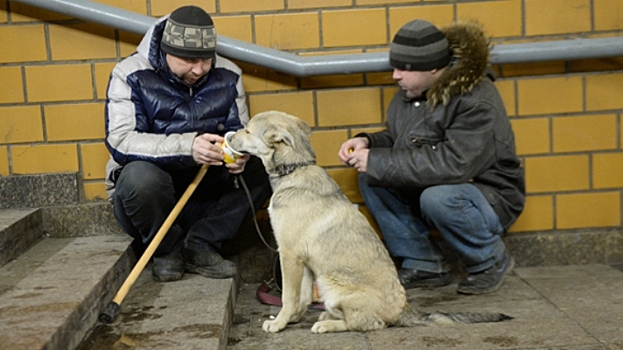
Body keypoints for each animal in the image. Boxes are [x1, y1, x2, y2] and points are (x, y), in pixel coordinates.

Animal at [229, 110, 512, 334]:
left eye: (247, 129)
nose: (228, 136)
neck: (295, 169)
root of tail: (403, 310)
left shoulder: (289, 255)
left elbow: (289, 296)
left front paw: (279, 323)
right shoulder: (303, 261)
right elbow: (302, 298)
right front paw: (293, 319)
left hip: (332, 284)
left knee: (367, 324)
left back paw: (327, 323)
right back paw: (326, 315)